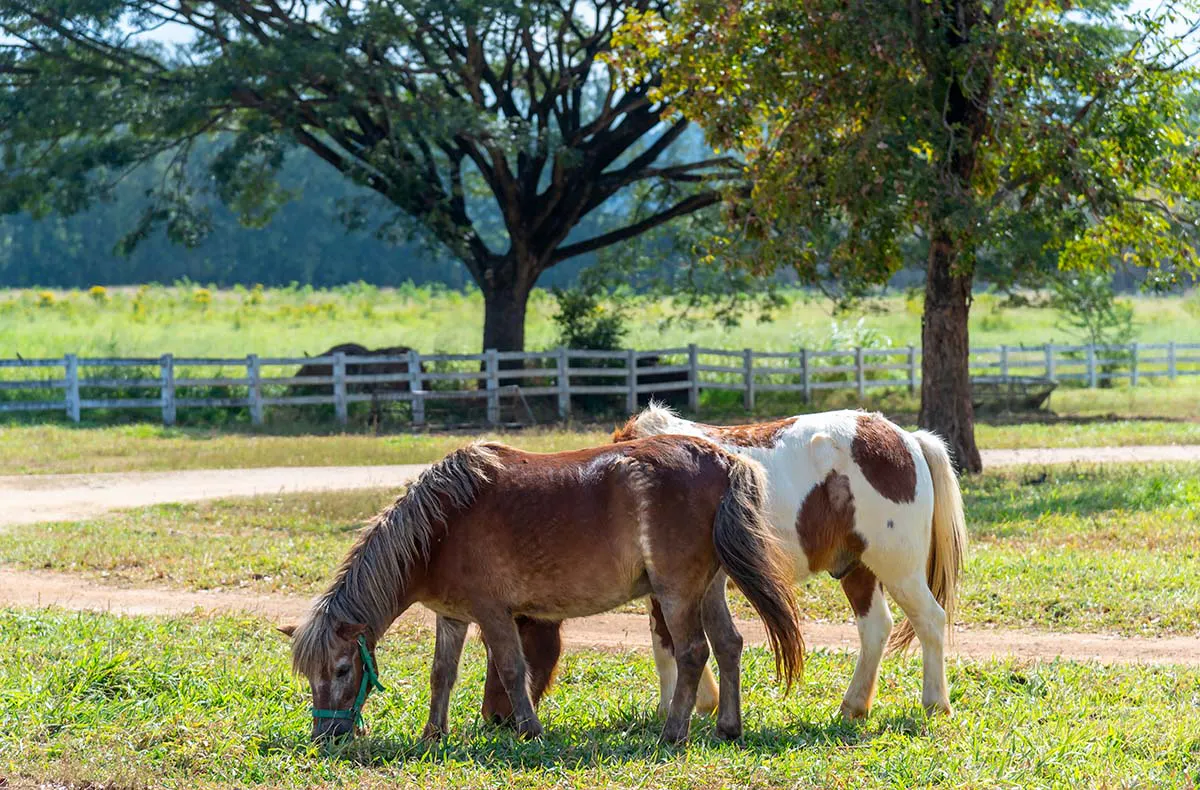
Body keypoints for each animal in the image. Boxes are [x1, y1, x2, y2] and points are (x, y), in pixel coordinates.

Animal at [281, 435, 805, 744]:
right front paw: (433, 734)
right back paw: (728, 727)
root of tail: (723, 459)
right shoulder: (451, 617)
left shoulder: (493, 615)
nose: (325, 738)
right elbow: (441, 674)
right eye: (309, 676)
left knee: (694, 652)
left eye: (342, 669)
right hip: (710, 587)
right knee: (729, 645)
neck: (440, 527)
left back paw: (674, 732)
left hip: (676, 592)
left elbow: (513, 671)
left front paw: (529, 730)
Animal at [481, 405, 967, 723]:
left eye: (513, 645)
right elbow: (668, 642)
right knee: (876, 629)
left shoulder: (668, 586)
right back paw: (853, 706)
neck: (616, 485)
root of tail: (906, 439)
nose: (493, 716)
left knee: (930, 620)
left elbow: (666, 642)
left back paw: (935, 703)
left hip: (897, 568)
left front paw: (682, 705)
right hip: (858, 567)